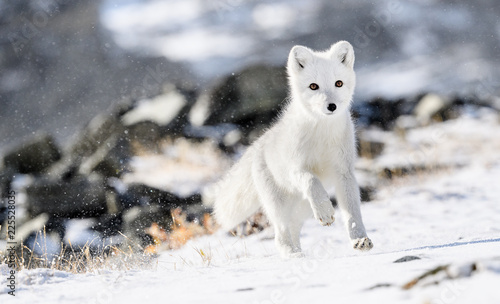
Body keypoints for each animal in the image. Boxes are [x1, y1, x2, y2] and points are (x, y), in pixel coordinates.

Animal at [205, 40, 374, 258]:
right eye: (313, 86)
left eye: (338, 83)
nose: (331, 106)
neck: (321, 135)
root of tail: (259, 144)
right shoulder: (295, 169)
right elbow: (311, 180)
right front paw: (326, 212)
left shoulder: (344, 173)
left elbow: (352, 212)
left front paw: (359, 240)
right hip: (279, 205)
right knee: (280, 236)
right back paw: (293, 255)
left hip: (302, 208)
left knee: (293, 228)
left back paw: (299, 252)